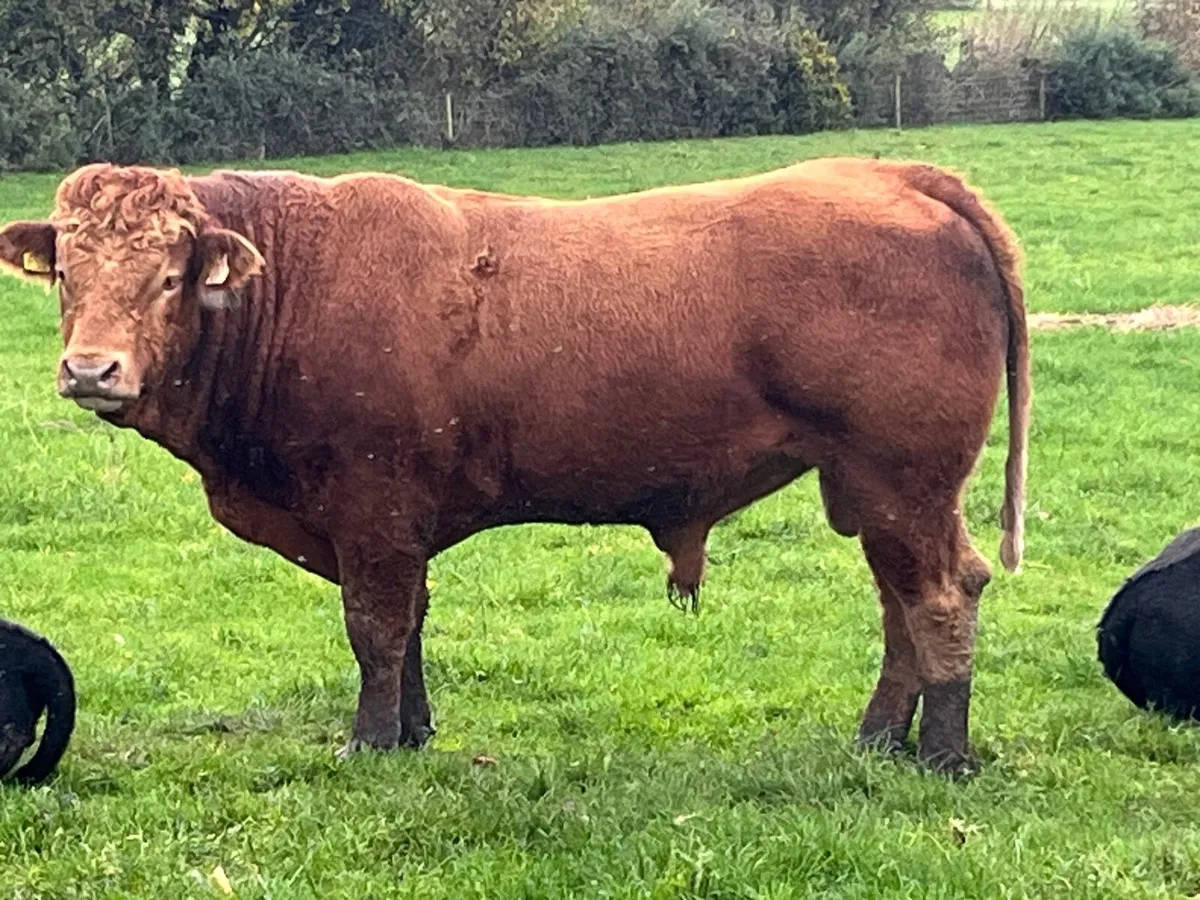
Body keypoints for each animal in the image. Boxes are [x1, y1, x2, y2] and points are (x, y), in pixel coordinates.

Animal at [0, 158, 1030, 773]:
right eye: (70, 274)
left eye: (171, 275)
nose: (91, 370)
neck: (297, 285)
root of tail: (886, 172)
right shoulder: (397, 521)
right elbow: (411, 624)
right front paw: (411, 732)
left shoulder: (372, 509)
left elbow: (375, 628)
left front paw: (370, 744)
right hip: (873, 491)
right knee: (902, 603)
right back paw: (878, 740)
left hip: (904, 482)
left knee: (941, 596)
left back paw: (942, 754)